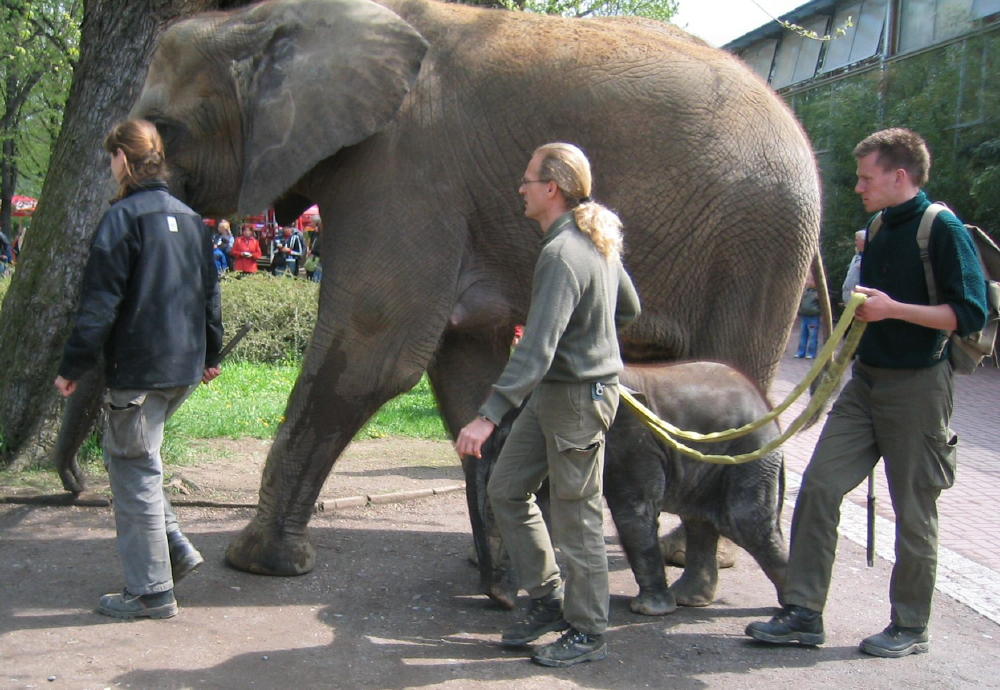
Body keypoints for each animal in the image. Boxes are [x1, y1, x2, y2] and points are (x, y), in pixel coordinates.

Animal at [484, 360, 788, 612]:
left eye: (504, 440)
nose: (497, 599)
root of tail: (769, 409)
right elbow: (538, 506)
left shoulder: (634, 444)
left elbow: (633, 512)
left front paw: (647, 610)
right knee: (699, 521)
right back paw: (689, 600)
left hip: (750, 454)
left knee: (745, 521)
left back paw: (789, 609)